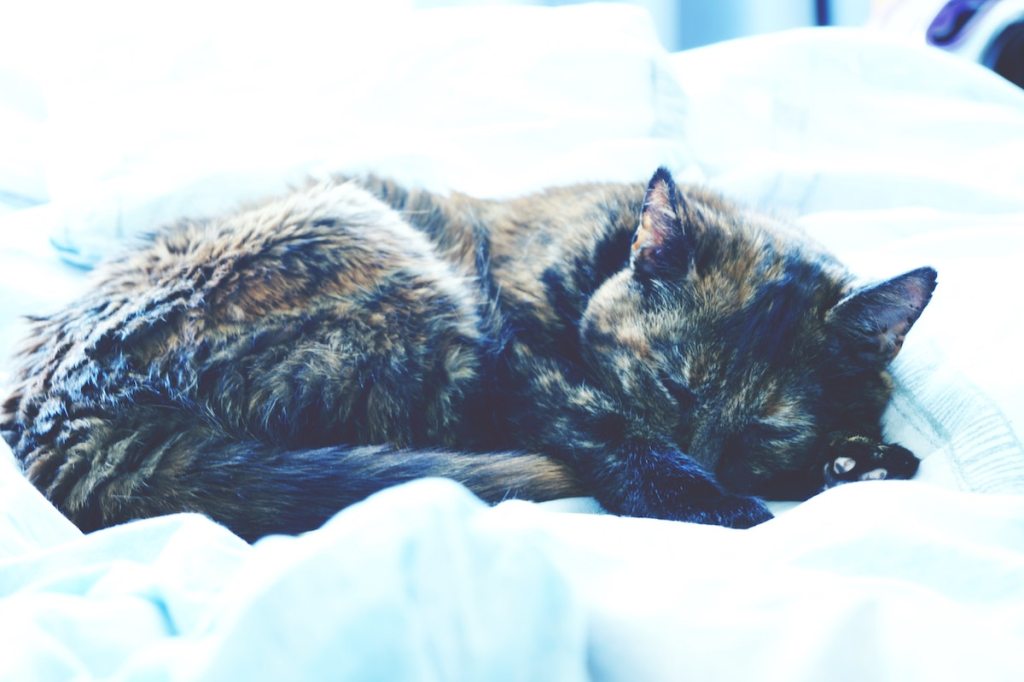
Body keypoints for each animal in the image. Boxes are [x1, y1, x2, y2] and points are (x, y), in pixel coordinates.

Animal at [0, 166, 937, 540]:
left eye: (768, 427)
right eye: (670, 382)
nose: (712, 461)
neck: (600, 252)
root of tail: (62, 424)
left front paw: (855, 460)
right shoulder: (523, 361)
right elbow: (608, 425)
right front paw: (707, 501)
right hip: (380, 243)